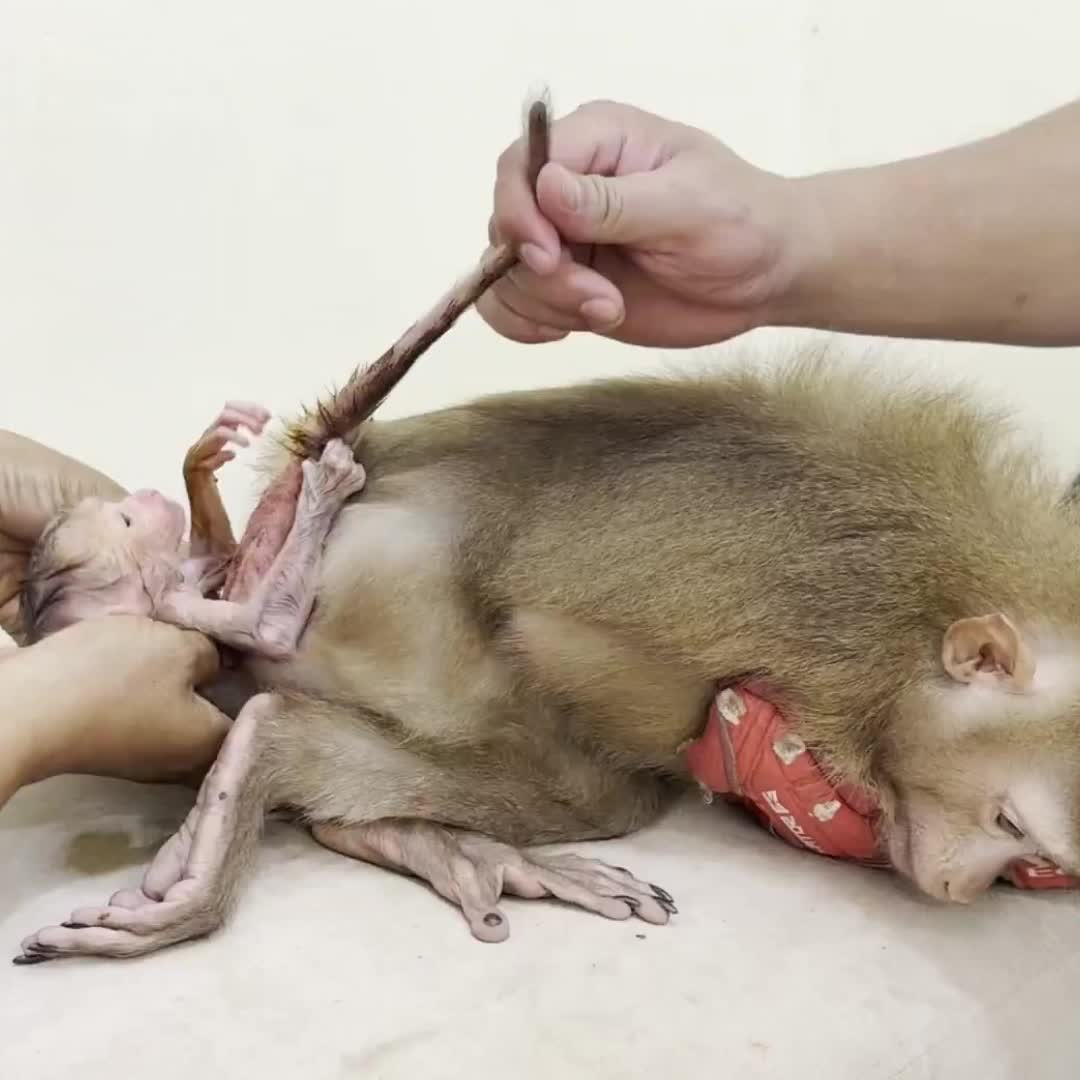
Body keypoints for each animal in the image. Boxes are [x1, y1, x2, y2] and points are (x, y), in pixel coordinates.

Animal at [15, 349, 1080, 966]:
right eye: (1006, 822)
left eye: (1034, 861)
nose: (963, 889)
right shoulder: (822, 633)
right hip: (382, 605)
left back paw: (415, 840)